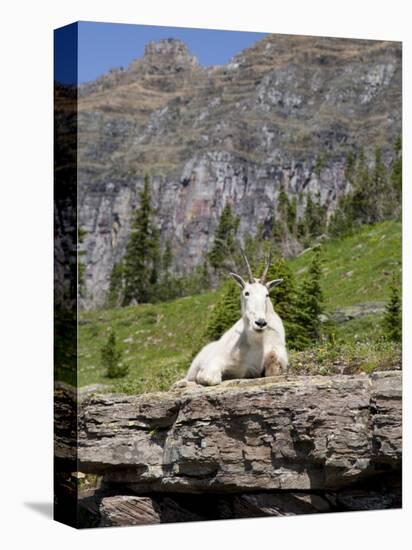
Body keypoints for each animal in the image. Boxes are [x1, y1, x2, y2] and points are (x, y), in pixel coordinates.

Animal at [175, 252, 288, 390]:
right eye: (246, 293)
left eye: (267, 294)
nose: (260, 323)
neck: (257, 340)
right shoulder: (217, 361)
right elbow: (208, 378)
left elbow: (273, 369)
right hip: (194, 367)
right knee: (187, 378)